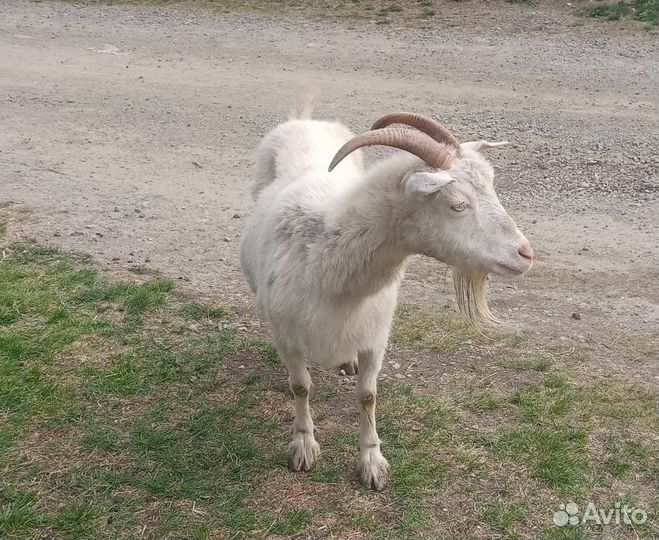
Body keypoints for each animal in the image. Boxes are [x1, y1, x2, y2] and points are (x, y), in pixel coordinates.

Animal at [240, 108, 533, 490]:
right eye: (457, 205)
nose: (525, 254)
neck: (326, 254)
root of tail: (307, 119)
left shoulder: (375, 334)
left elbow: (368, 396)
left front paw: (372, 461)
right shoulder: (288, 332)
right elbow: (300, 386)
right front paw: (304, 445)